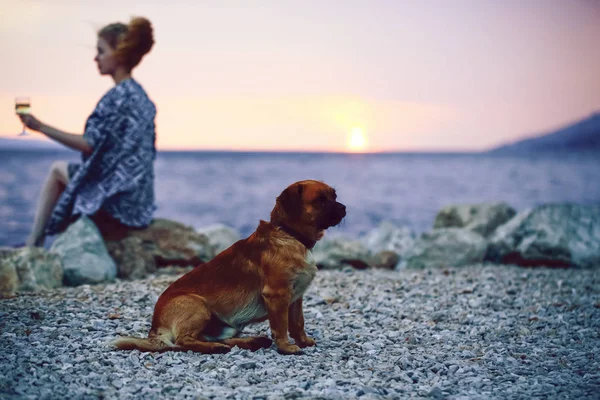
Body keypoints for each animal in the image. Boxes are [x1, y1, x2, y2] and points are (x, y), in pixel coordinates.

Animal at [113, 180, 346, 354]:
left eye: (334, 196)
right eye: (320, 201)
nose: (344, 208)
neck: (289, 234)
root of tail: (155, 328)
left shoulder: (295, 298)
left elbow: (297, 323)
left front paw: (303, 341)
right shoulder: (278, 295)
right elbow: (281, 326)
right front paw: (286, 347)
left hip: (226, 326)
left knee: (215, 339)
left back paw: (251, 342)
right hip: (198, 306)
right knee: (183, 341)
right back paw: (217, 348)